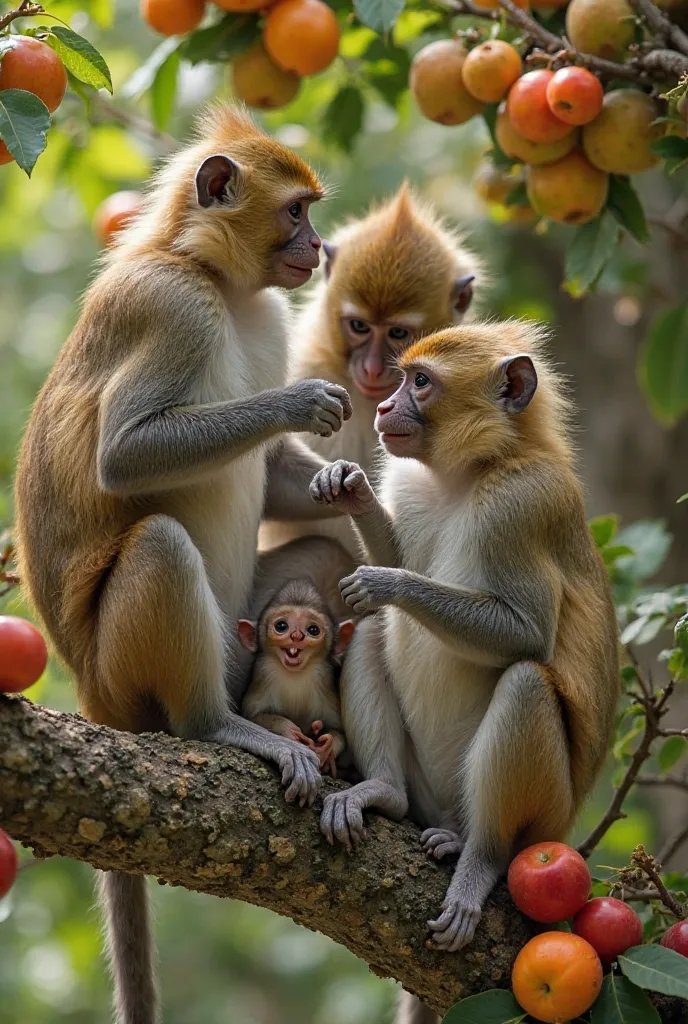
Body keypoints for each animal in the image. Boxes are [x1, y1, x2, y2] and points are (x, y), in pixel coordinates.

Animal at [237, 581, 354, 770]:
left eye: (313, 629)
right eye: (281, 626)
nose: (297, 636)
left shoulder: (324, 682)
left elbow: (338, 731)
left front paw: (327, 746)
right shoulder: (263, 676)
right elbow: (252, 717)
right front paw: (288, 730)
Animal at [311, 319, 618, 1024]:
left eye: (421, 382)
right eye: (404, 378)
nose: (386, 408)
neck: (469, 471)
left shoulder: (523, 504)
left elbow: (527, 634)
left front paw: (388, 582)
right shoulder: (410, 482)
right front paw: (350, 487)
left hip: (544, 814)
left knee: (526, 683)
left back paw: (479, 856)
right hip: (426, 790)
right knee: (370, 633)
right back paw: (383, 794)